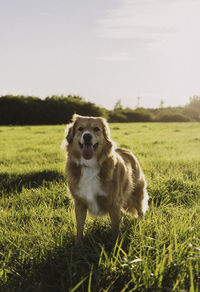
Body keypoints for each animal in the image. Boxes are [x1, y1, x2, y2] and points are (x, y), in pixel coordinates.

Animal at [63, 114, 148, 244]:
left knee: (140, 210)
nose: (87, 136)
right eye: (80, 129)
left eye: (96, 129)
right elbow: (79, 227)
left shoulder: (114, 203)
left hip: (137, 192)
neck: (90, 165)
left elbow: (115, 229)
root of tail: (127, 151)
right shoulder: (79, 203)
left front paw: (115, 244)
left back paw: (140, 223)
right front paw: (78, 245)